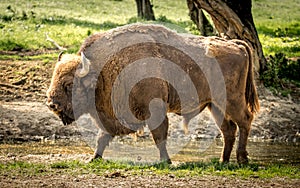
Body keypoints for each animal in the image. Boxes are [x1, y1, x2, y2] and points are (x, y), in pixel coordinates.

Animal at [45, 24, 258, 164]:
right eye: (54, 76)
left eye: (69, 84)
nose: (52, 104)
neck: (102, 70)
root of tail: (236, 45)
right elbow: (102, 137)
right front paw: (93, 158)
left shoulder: (155, 110)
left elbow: (159, 135)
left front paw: (165, 161)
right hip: (215, 105)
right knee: (228, 129)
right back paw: (223, 161)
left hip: (232, 100)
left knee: (245, 121)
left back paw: (242, 159)